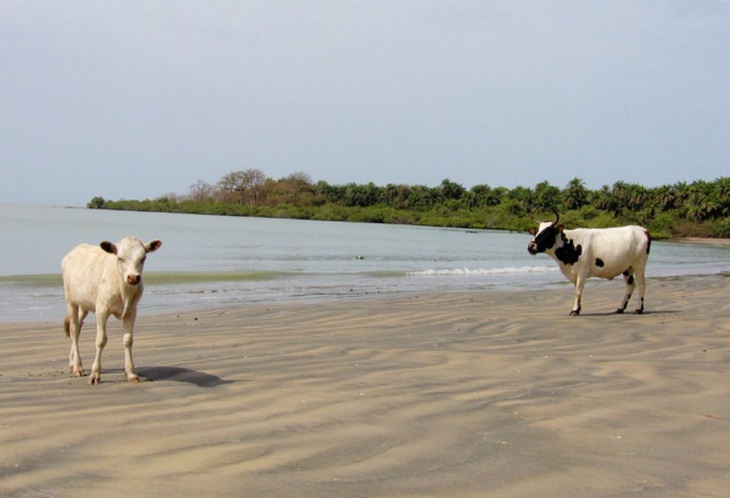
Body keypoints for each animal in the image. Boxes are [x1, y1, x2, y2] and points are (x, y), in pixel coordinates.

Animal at [61, 235, 161, 384]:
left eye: (143, 258)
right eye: (120, 258)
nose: (133, 277)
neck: (124, 290)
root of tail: (74, 251)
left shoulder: (132, 311)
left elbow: (128, 340)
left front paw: (131, 373)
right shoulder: (102, 309)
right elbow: (101, 340)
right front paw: (95, 374)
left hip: (84, 304)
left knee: (78, 328)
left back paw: (72, 364)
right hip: (71, 300)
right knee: (73, 330)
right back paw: (78, 367)